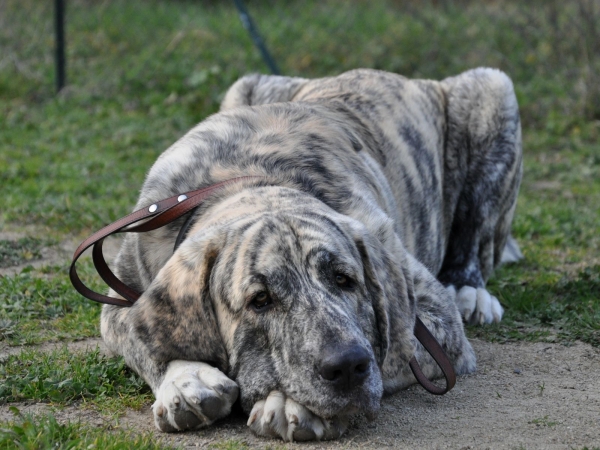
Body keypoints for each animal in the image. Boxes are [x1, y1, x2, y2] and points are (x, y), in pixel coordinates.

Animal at [101, 68, 524, 442]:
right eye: (260, 300)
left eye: (344, 280)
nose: (348, 366)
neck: (247, 180)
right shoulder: (120, 301)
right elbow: (142, 338)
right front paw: (185, 380)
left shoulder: (435, 317)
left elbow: (397, 345)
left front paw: (290, 405)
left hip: (494, 89)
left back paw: (470, 291)